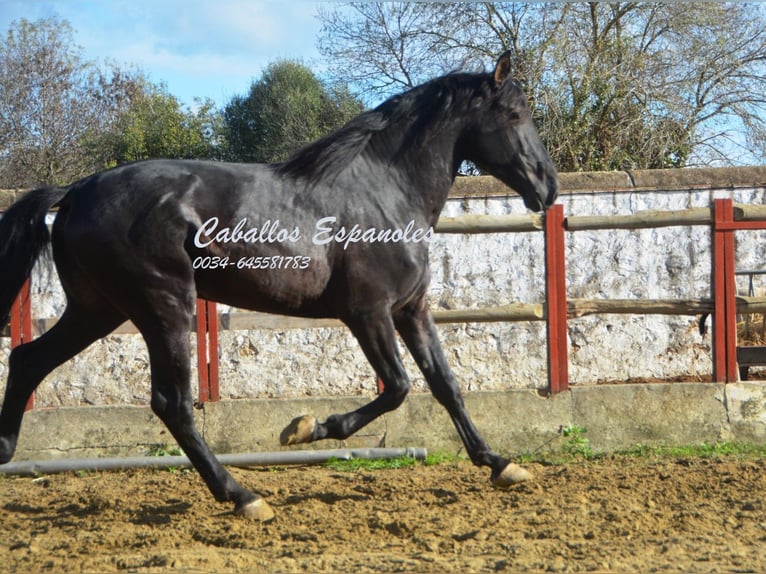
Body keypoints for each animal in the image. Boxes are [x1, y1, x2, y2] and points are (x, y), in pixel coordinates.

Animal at [0, 54, 560, 520]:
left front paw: (501, 464)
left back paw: (6, 453)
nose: (548, 186)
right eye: (515, 114)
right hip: (164, 307)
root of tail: (76, 190)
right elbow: (399, 386)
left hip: (97, 310)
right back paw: (244, 497)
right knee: (172, 403)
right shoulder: (368, 313)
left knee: (28, 360)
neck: (386, 190)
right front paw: (308, 428)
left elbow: (446, 385)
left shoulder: (411, 309)